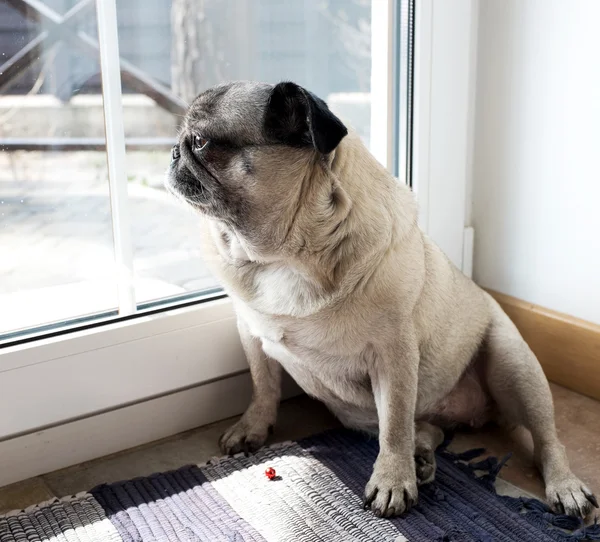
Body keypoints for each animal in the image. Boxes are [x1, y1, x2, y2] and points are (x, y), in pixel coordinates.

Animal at [164, 81, 596, 520]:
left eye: (200, 142)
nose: (173, 151)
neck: (284, 255)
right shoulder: (251, 333)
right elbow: (262, 386)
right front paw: (253, 426)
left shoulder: (393, 355)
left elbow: (394, 425)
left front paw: (392, 481)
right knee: (426, 429)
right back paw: (422, 457)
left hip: (514, 364)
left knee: (546, 439)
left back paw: (564, 486)